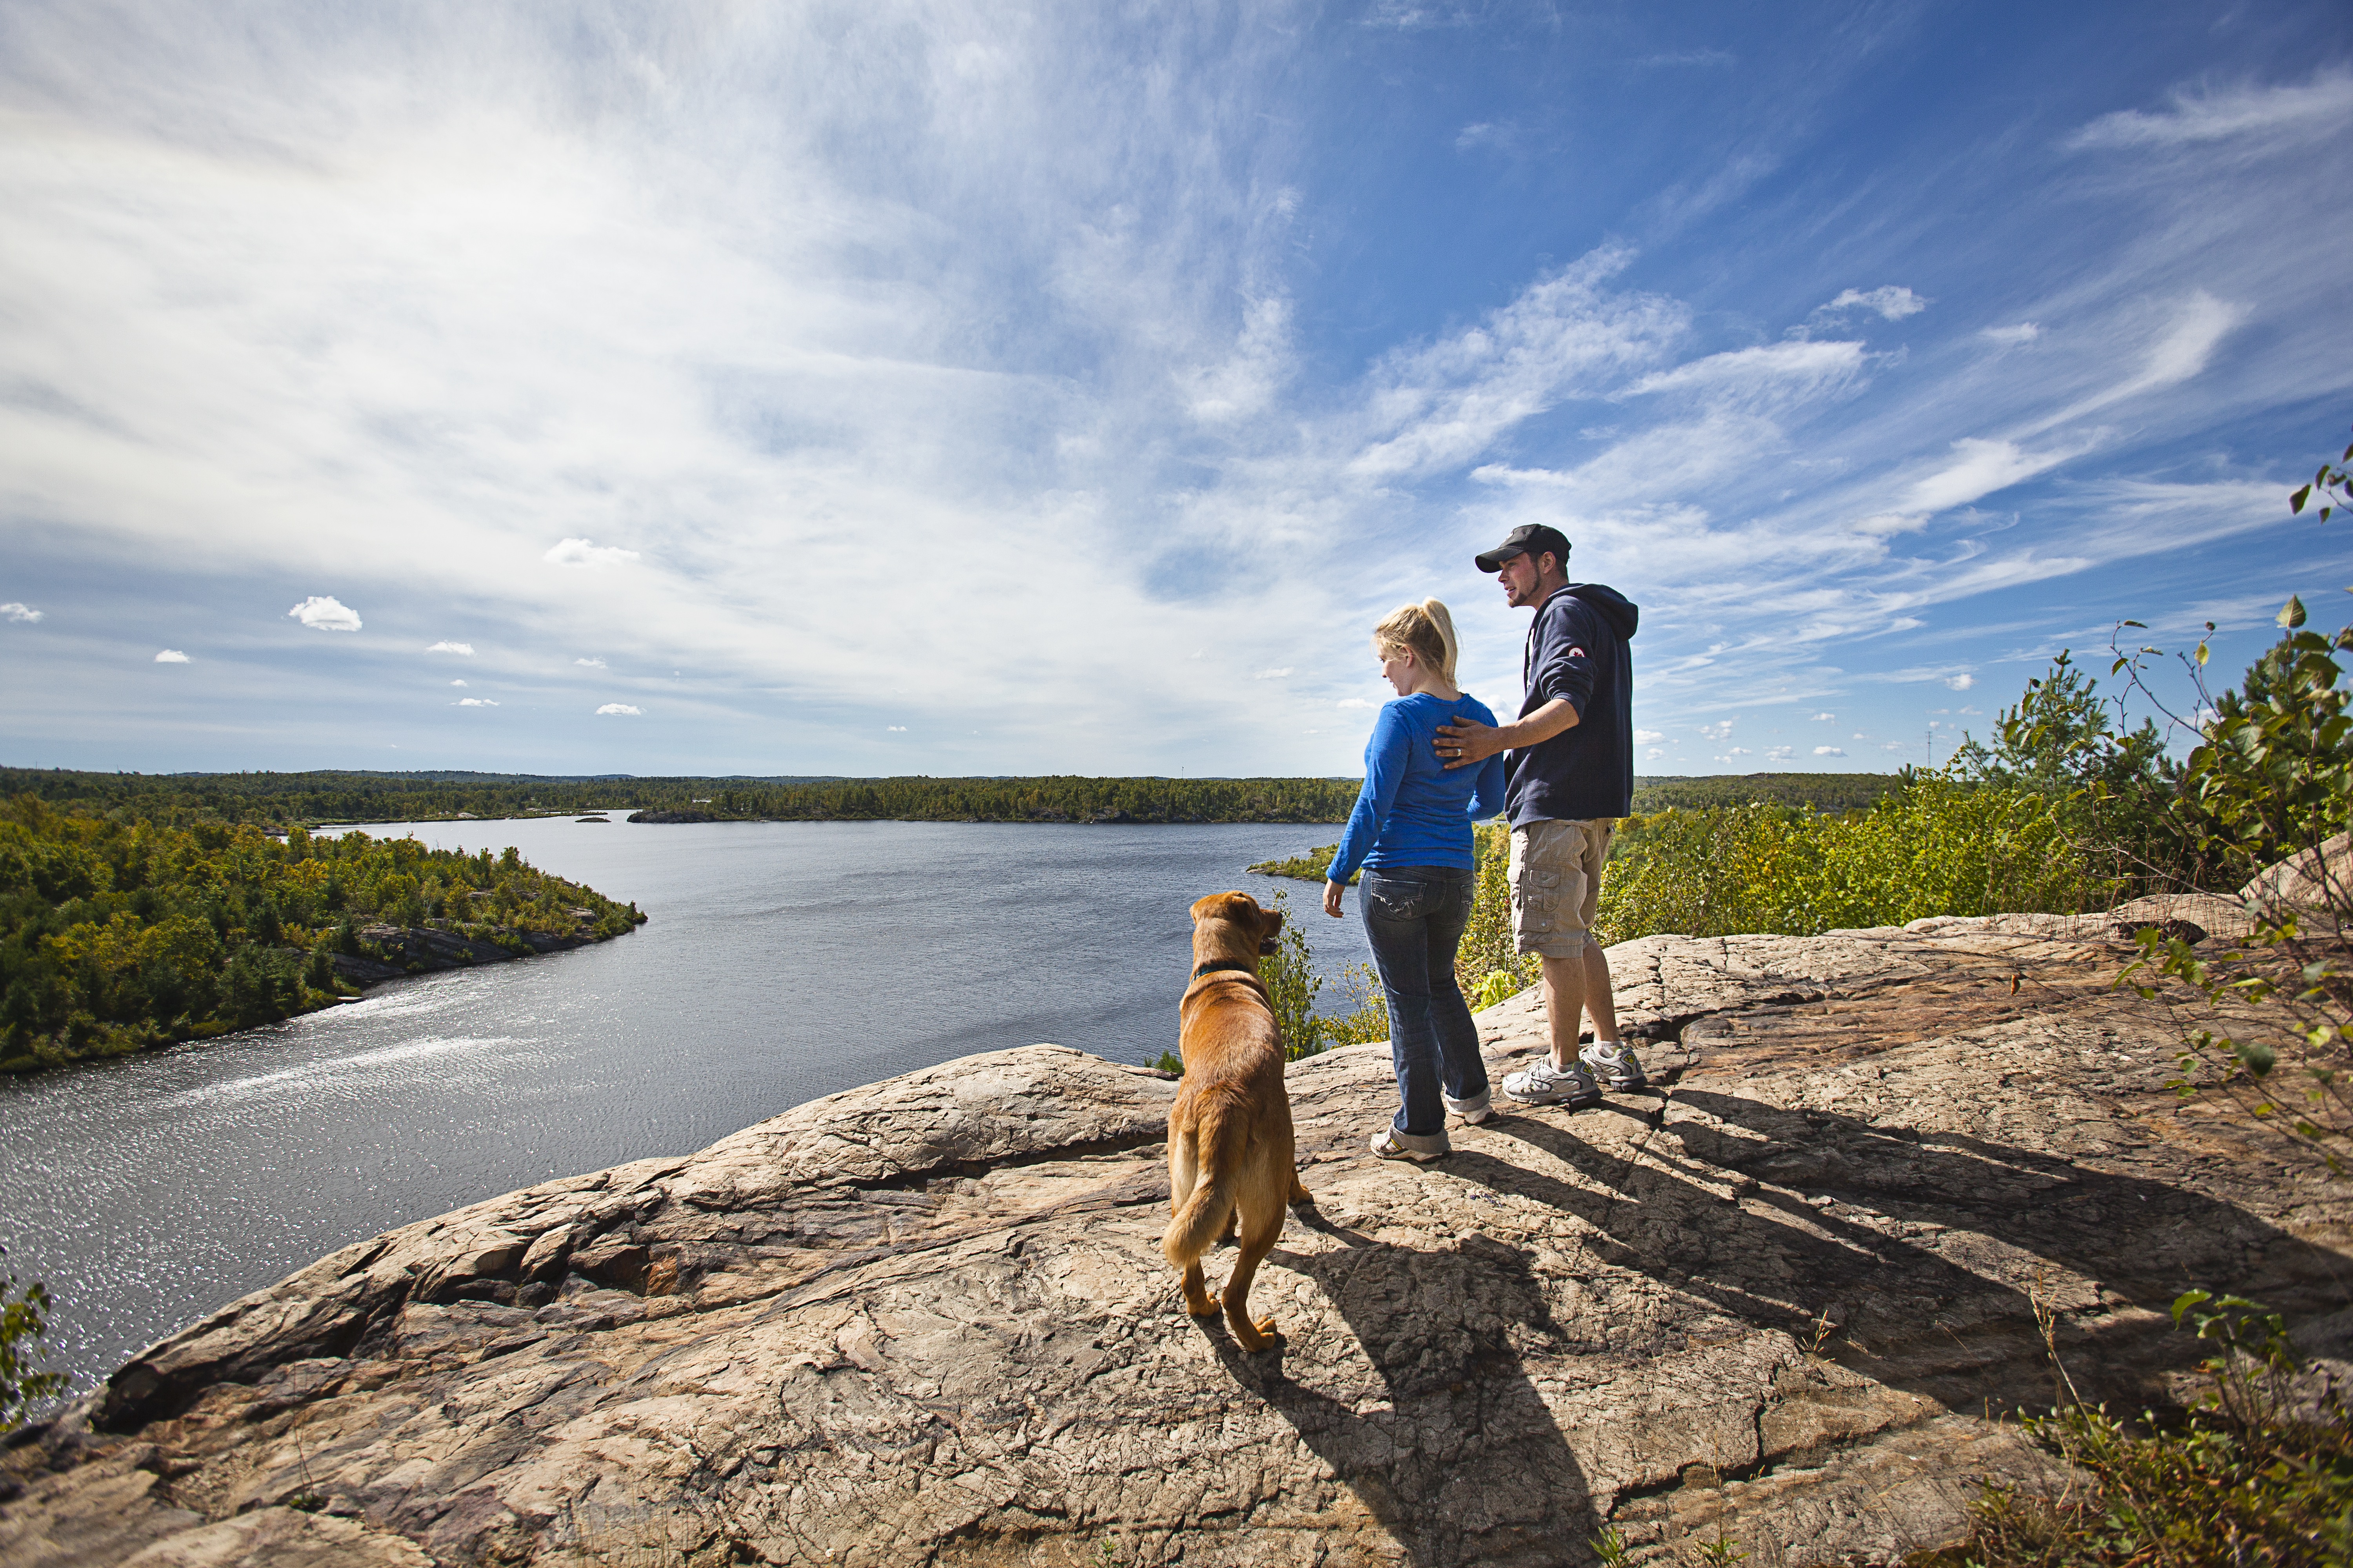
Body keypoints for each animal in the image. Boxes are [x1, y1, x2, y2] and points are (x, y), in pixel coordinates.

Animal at [1167, 885, 1318, 1346]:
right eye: (1257, 908)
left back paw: (1203, 1307)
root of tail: (1222, 1098)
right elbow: (1295, 1170)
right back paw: (1260, 1340)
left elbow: (1223, 1211)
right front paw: (1302, 1192)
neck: (1222, 970)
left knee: (1190, 1273)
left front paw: (1224, 1228)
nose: (1281, 914)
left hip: (1182, 1190)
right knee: (1236, 1292)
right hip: (1268, 1212)